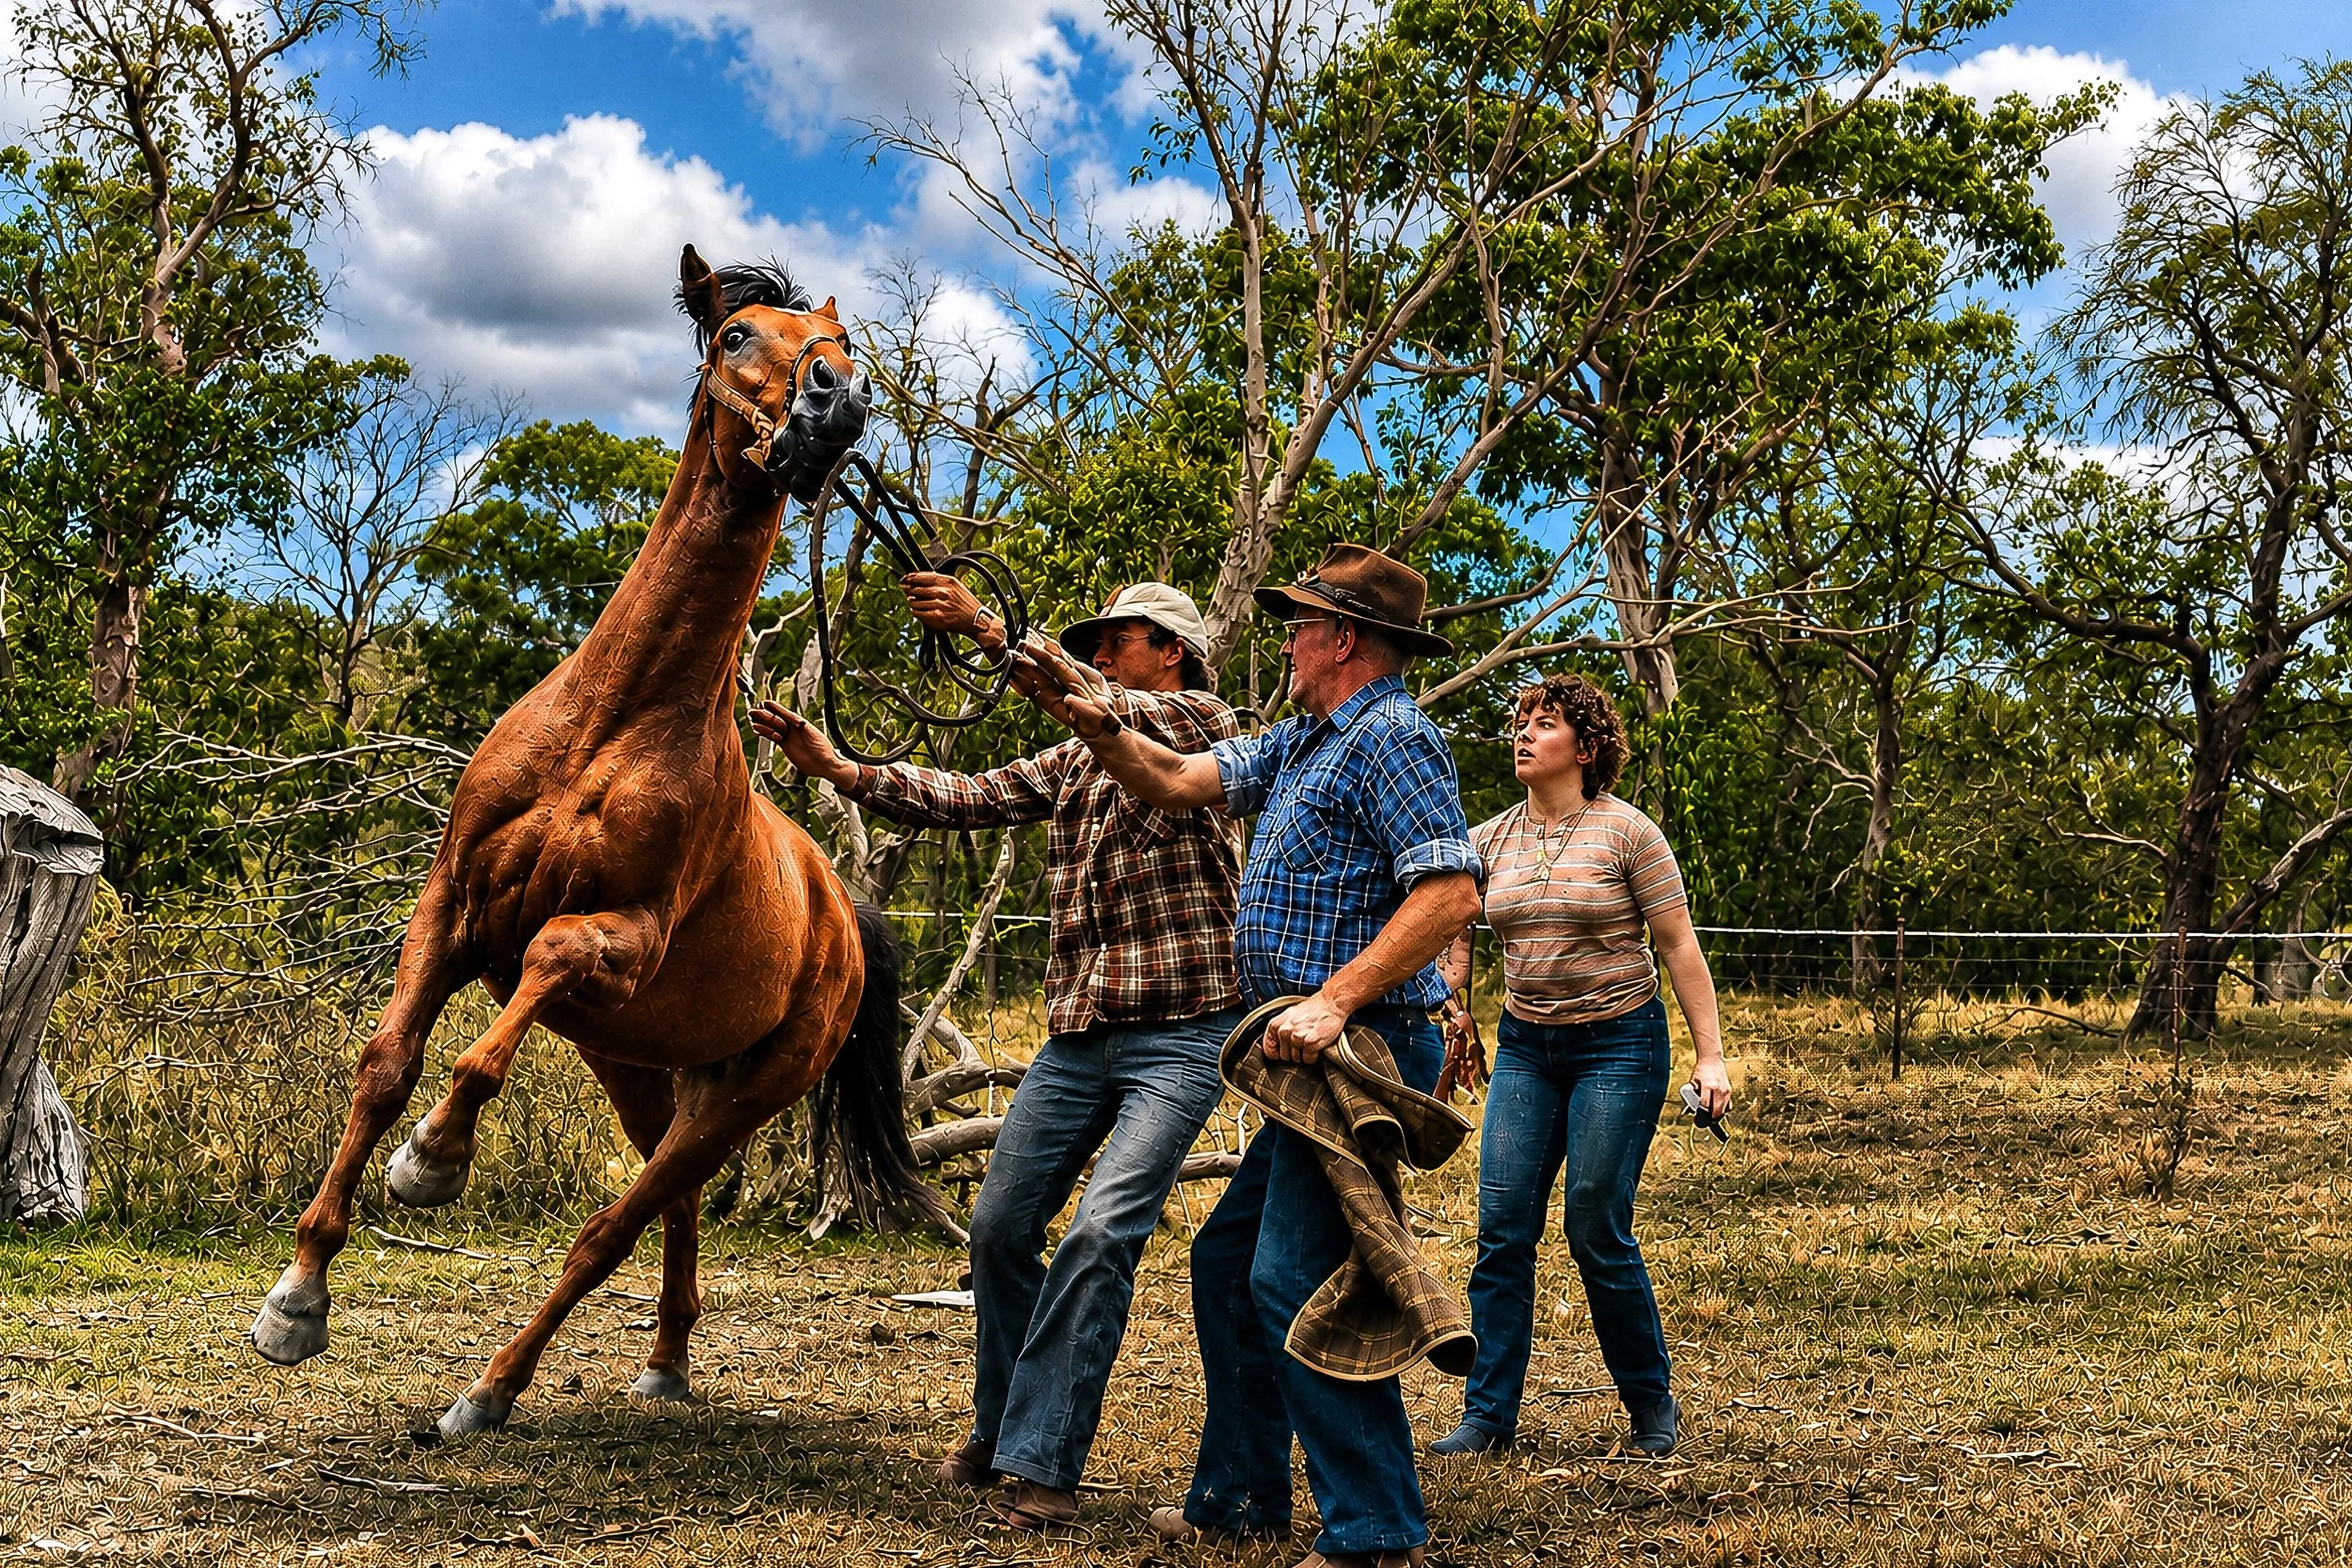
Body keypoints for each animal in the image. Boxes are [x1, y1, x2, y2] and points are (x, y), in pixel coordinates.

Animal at [250, 245, 947, 1439]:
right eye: (736, 335)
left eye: (848, 349)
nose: (835, 405)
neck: (608, 724)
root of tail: (840, 917)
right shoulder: (450, 902)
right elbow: (386, 1063)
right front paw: (296, 1301)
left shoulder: (617, 941)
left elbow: (520, 993)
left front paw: (432, 1161)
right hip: (644, 1070)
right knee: (673, 1207)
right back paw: (663, 1361)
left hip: (739, 1092)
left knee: (614, 1225)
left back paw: (489, 1388)